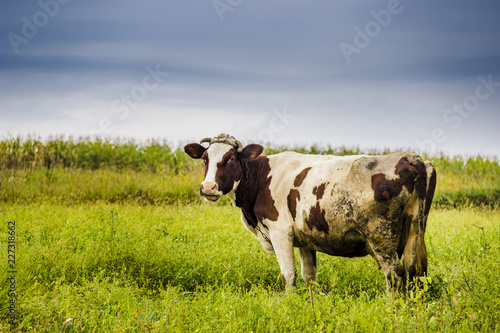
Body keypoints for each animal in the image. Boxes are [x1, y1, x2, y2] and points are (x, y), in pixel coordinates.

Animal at [185, 132, 438, 294]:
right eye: (205, 159)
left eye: (230, 159)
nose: (208, 187)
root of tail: (410, 157)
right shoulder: (305, 238)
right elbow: (310, 277)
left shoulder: (280, 233)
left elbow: (289, 275)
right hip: (415, 231)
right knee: (415, 273)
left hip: (381, 237)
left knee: (395, 275)